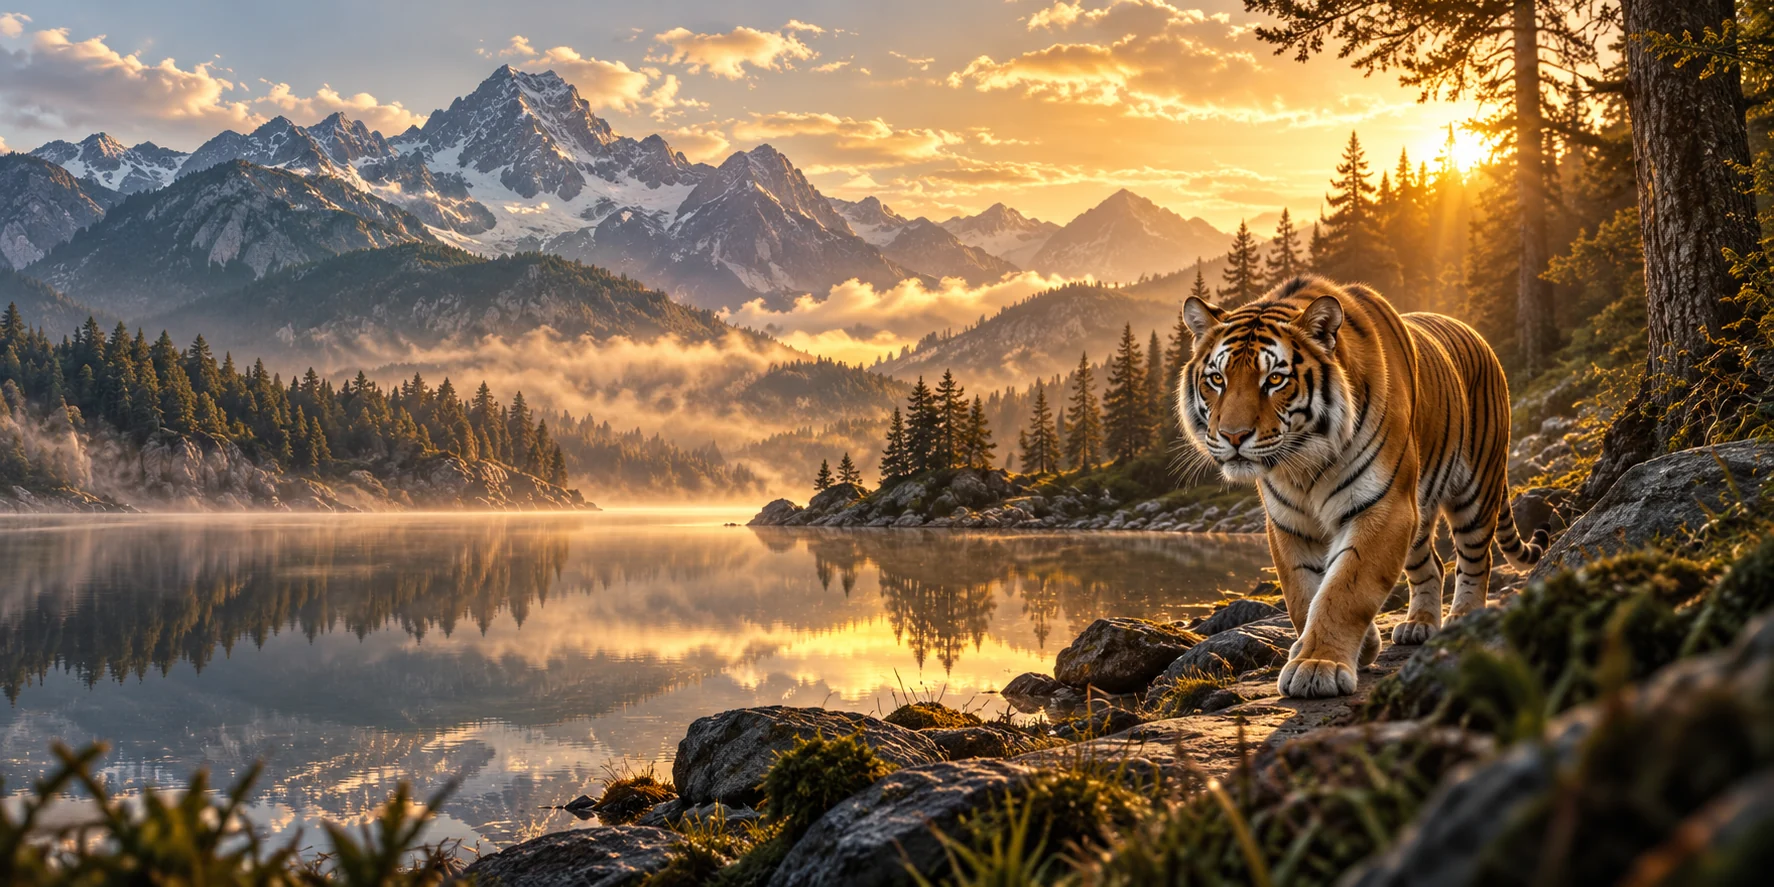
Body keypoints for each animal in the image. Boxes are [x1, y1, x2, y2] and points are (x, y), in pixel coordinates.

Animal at [1176, 275, 1547, 698]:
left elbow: (1345, 589)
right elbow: (1304, 594)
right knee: (1432, 565)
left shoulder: (1383, 506)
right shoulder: (1289, 523)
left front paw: (1317, 665)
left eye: (1274, 380)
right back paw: (1419, 624)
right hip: (1420, 511)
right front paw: (1357, 646)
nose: (1233, 436)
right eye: (1217, 379)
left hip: (1476, 491)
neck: (1303, 462)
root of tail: (1477, 336)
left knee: (1475, 561)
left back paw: (1464, 619)